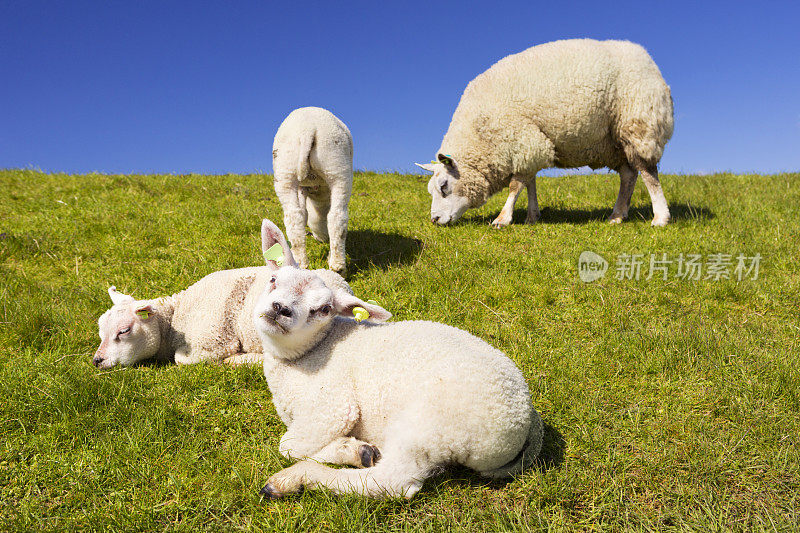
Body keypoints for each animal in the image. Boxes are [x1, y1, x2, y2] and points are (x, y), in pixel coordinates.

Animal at [91, 218, 350, 368]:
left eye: (124, 330)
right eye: (101, 330)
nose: (97, 361)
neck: (175, 316)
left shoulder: (210, 344)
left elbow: (183, 361)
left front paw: (235, 360)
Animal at [253, 260, 548, 496]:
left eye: (325, 309)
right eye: (273, 279)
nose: (280, 308)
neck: (306, 355)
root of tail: (528, 419)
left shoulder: (331, 408)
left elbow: (288, 445)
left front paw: (347, 450)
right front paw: (355, 450)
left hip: (429, 424)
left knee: (393, 481)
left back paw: (295, 479)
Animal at [272, 106, 354, 272]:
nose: (321, 239)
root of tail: (307, 130)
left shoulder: (303, 186)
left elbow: (304, 214)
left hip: (285, 171)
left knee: (293, 218)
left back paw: (300, 263)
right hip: (337, 169)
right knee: (337, 217)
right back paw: (338, 267)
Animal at [418, 37, 676, 229]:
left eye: (444, 186)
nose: (434, 220)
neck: (479, 135)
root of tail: (647, 59)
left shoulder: (522, 139)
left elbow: (516, 185)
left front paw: (503, 218)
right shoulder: (528, 146)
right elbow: (529, 182)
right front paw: (532, 216)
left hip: (639, 121)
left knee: (647, 171)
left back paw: (660, 217)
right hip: (613, 142)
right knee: (629, 175)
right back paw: (618, 215)